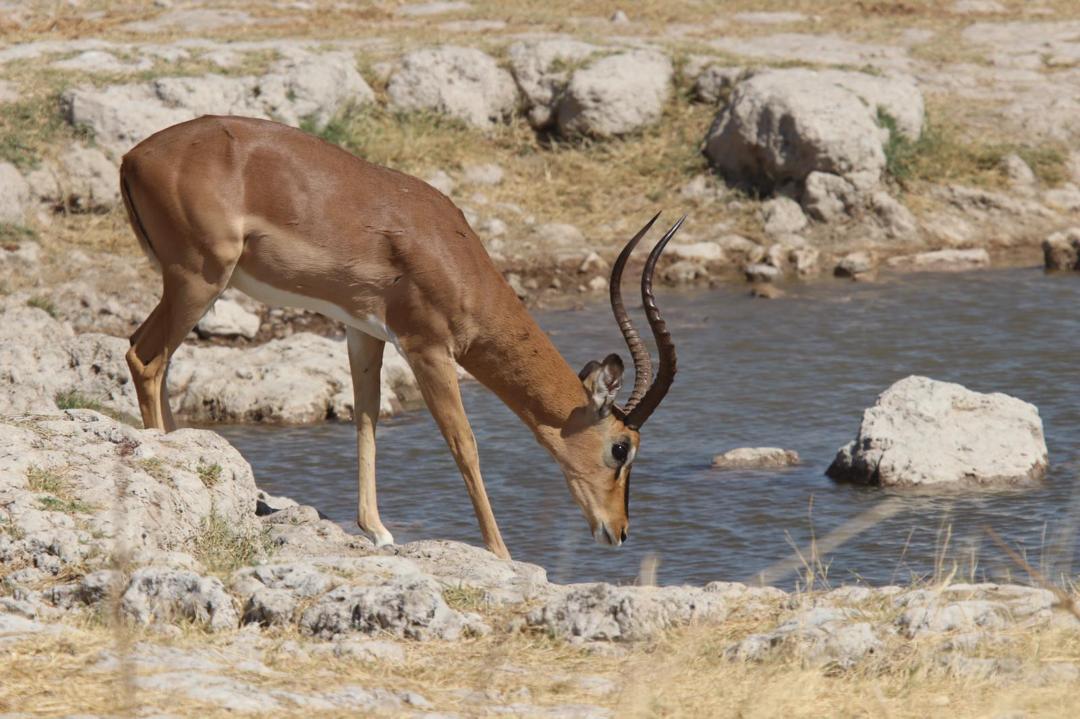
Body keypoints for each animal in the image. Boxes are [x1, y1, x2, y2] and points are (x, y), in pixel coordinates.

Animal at [119, 115, 681, 560]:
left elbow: (366, 420)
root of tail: (133, 155)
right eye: (621, 449)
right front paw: (502, 553)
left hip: (190, 284)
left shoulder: (364, 332)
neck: (452, 255)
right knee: (144, 358)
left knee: (154, 358)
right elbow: (464, 444)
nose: (619, 532)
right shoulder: (427, 346)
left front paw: (378, 532)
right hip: (200, 278)